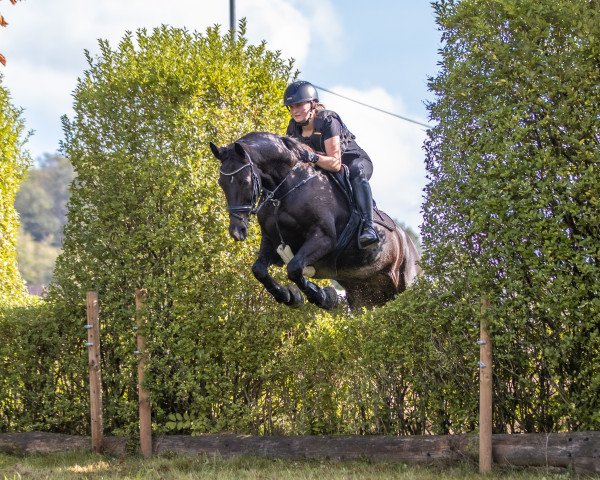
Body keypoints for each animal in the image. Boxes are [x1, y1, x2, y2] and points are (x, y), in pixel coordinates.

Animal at [211, 132, 422, 312]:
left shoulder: (323, 238)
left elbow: (294, 268)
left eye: (245, 181)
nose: (237, 231)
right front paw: (289, 297)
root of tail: (410, 243)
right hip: (366, 294)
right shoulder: (272, 241)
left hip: (406, 279)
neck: (285, 188)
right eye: (221, 183)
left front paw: (323, 297)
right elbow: (259, 271)